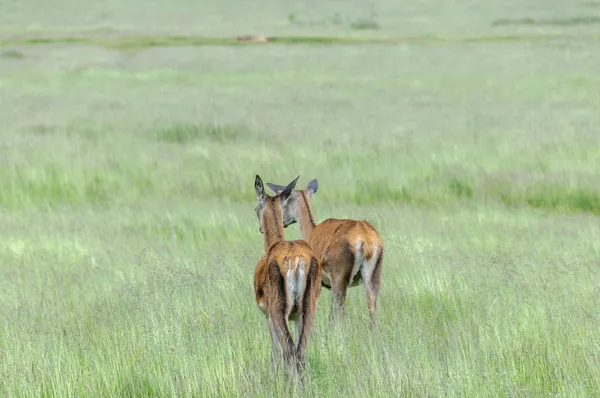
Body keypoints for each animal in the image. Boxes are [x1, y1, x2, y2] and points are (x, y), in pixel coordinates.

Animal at [251, 176, 322, 388]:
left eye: (256, 207)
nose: (259, 228)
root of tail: (296, 259)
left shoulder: (268, 316)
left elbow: (275, 352)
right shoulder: (297, 317)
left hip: (278, 312)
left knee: (289, 352)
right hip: (308, 311)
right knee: (301, 352)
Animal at [268, 178, 384, 330]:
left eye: (285, 201)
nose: (283, 222)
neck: (311, 231)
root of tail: (365, 240)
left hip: (339, 278)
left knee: (341, 311)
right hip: (373, 276)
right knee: (371, 307)